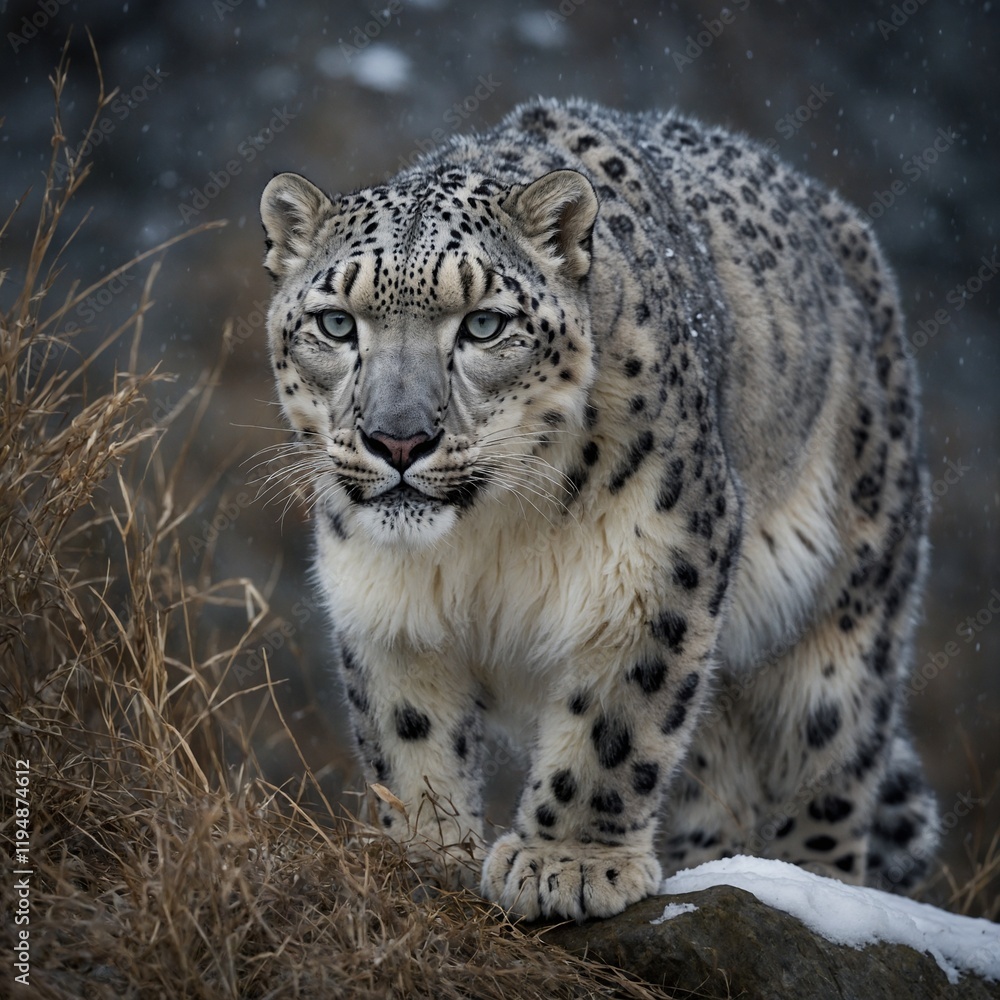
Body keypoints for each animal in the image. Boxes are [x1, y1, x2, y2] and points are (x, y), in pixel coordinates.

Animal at [258, 97, 940, 921]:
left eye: (483, 323)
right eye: (336, 323)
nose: (399, 438)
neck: (486, 536)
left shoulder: (661, 561)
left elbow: (617, 719)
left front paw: (569, 865)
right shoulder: (383, 598)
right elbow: (407, 732)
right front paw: (423, 859)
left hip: (850, 615)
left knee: (826, 762)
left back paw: (812, 888)